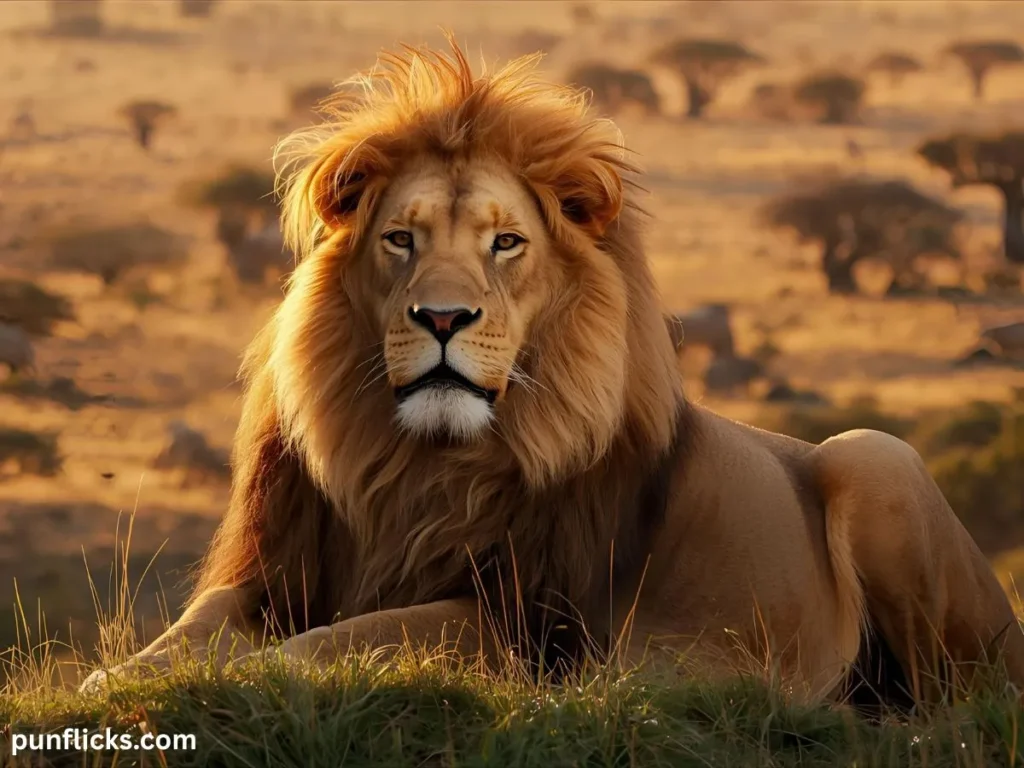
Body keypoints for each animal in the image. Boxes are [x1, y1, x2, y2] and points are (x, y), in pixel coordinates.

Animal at [82, 39, 1024, 707]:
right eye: (401, 239)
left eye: (506, 242)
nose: (444, 319)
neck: (424, 467)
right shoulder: (280, 576)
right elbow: (196, 628)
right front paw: (117, 679)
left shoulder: (533, 630)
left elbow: (350, 640)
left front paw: (256, 675)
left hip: (877, 458)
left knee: (945, 700)